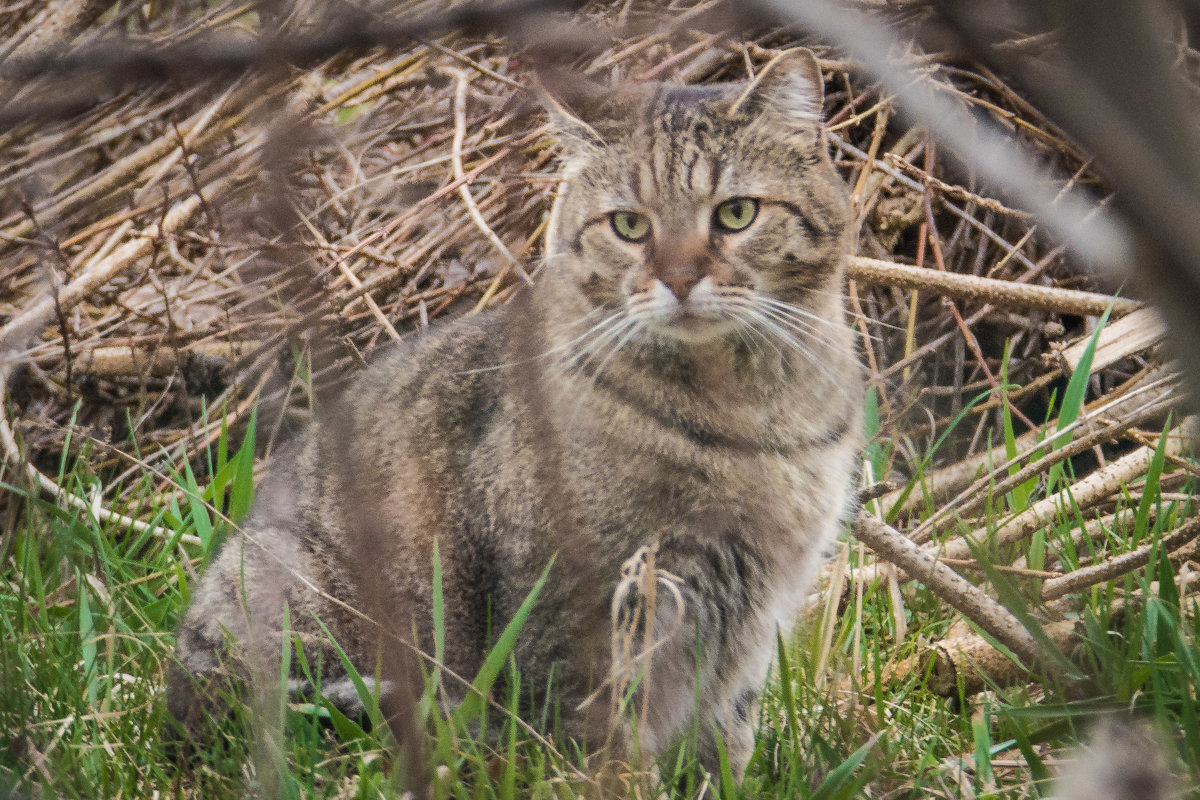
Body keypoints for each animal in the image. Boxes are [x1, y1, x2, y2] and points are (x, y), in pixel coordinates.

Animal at [169, 47, 864, 777]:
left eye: (735, 214)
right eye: (629, 225)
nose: (678, 280)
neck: (750, 412)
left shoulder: (756, 619)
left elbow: (727, 741)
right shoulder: (586, 606)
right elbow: (605, 740)